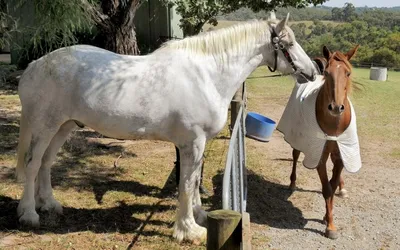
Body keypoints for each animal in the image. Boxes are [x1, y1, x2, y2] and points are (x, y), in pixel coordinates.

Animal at [14, 14, 316, 242]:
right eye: (289, 43)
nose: (312, 71)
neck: (207, 74)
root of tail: (34, 66)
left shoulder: (197, 144)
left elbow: (194, 180)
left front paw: (198, 216)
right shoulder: (192, 142)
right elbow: (187, 183)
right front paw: (188, 230)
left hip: (63, 127)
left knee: (46, 163)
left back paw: (49, 204)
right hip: (45, 126)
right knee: (32, 164)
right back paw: (29, 214)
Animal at [276, 44, 360, 238]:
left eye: (348, 73)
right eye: (328, 73)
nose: (336, 107)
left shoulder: (341, 154)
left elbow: (332, 185)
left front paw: (327, 217)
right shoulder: (319, 155)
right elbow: (326, 189)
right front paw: (330, 226)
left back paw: (342, 189)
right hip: (298, 141)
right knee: (295, 156)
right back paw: (292, 183)